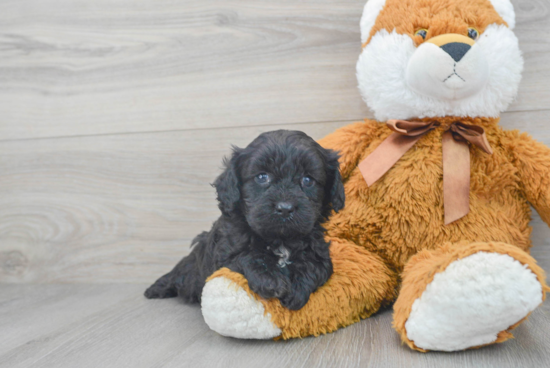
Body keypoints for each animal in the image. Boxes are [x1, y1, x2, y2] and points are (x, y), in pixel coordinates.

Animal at [146, 131, 344, 310]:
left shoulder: (318, 249)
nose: (285, 208)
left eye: (308, 180)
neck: (280, 239)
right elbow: (247, 255)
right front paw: (270, 280)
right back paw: (155, 289)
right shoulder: (225, 255)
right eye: (262, 177)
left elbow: (317, 264)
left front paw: (298, 287)